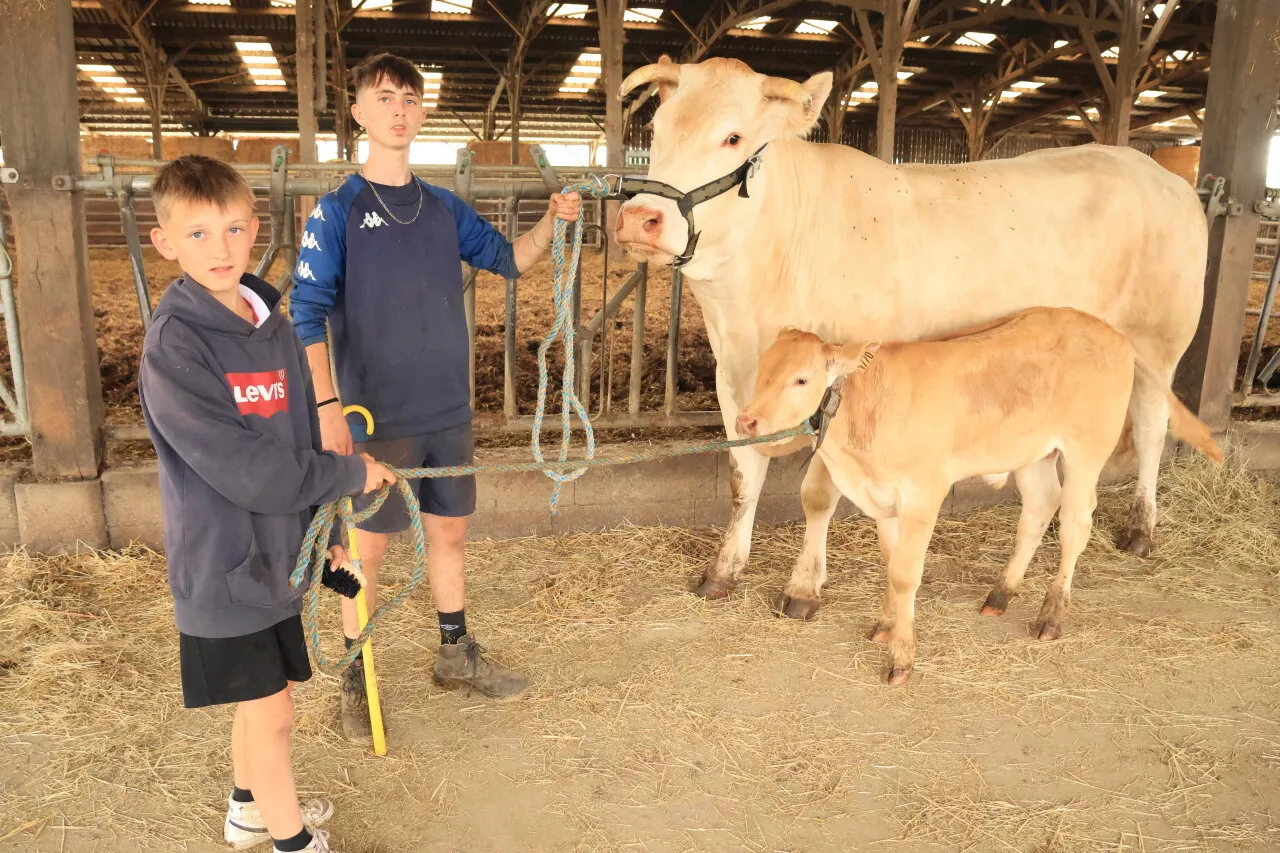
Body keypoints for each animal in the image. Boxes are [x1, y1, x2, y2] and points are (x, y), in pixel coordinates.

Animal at [616, 54, 1208, 612]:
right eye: (657, 130)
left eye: (733, 137)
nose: (640, 218)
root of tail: (1157, 171)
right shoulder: (732, 378)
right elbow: (743, 477)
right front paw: (723, 570)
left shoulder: (838, 384)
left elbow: (817, 494)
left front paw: (804, 587)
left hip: (1160, 343)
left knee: (1152, 427)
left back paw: (1140, 528)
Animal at [732, 306, 1218, 686]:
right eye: (762, 368)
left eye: (801, 379)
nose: (747, 421)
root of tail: (1113, 333)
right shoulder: (885, 498)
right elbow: (892, 565)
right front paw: (887, 625)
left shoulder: (924, 493)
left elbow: (906, 574)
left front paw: (901, 659)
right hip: (1031, 454)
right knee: (1039, 507)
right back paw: (1000, 594)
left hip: (1087, 450)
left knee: (1075, 525)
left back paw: (1050, 617)